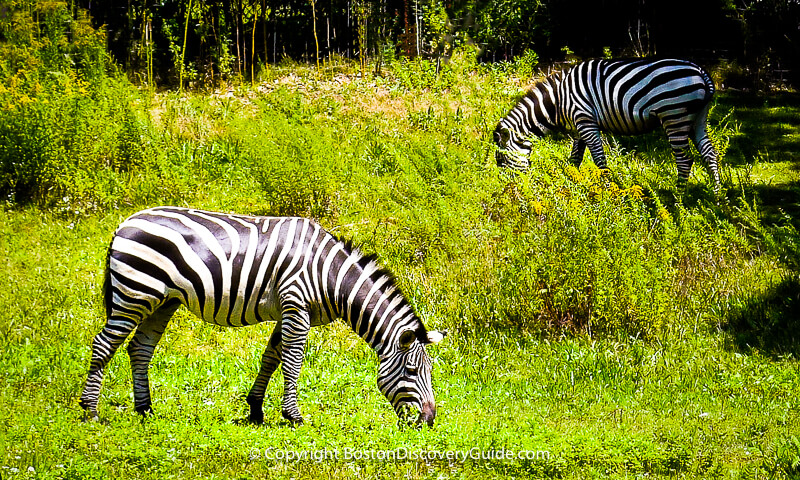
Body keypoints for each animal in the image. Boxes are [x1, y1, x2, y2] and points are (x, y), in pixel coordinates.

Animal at [79, 206, 446, 428]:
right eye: (412, 371)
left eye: (429, 372)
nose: (428, 421)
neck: (330, 276)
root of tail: (124, 223)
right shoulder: (296, 304)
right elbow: (293, 361)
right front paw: (294, 416)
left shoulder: (291, 311)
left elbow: (271, 357)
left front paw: (256, 409)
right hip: (135, 292)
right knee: (103, 345)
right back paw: (90, 411)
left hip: (162, 301)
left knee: (139, 348)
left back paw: (145, 410)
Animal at [494, 57, 720, 190]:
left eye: (501, 159)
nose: (509, 191)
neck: (557, 101)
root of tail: (701, 71)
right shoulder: (578, 127)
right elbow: (575, 159)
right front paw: (571, 185)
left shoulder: (585, 121)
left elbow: (599, 160)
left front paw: (606, 192)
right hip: (697, 119)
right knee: (710, 154)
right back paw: (717, 198)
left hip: (675, 116)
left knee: (685, 160)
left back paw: (678, 198)